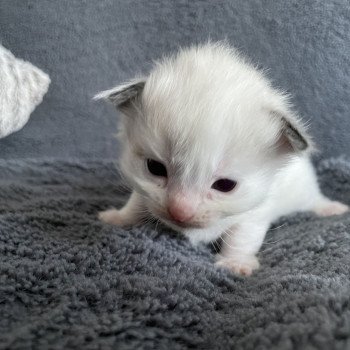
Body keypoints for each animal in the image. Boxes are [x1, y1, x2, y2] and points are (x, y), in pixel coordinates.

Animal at [94, 41, 348, 276]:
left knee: (314, 199)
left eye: (225, 185)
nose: (179, 212)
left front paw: (235, 263)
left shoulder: (255, 213)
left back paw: (331, 208)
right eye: (155, 168)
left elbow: (241, 237)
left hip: (303, 187)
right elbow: (136, 203)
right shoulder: (145, 191)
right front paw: (118, 218)